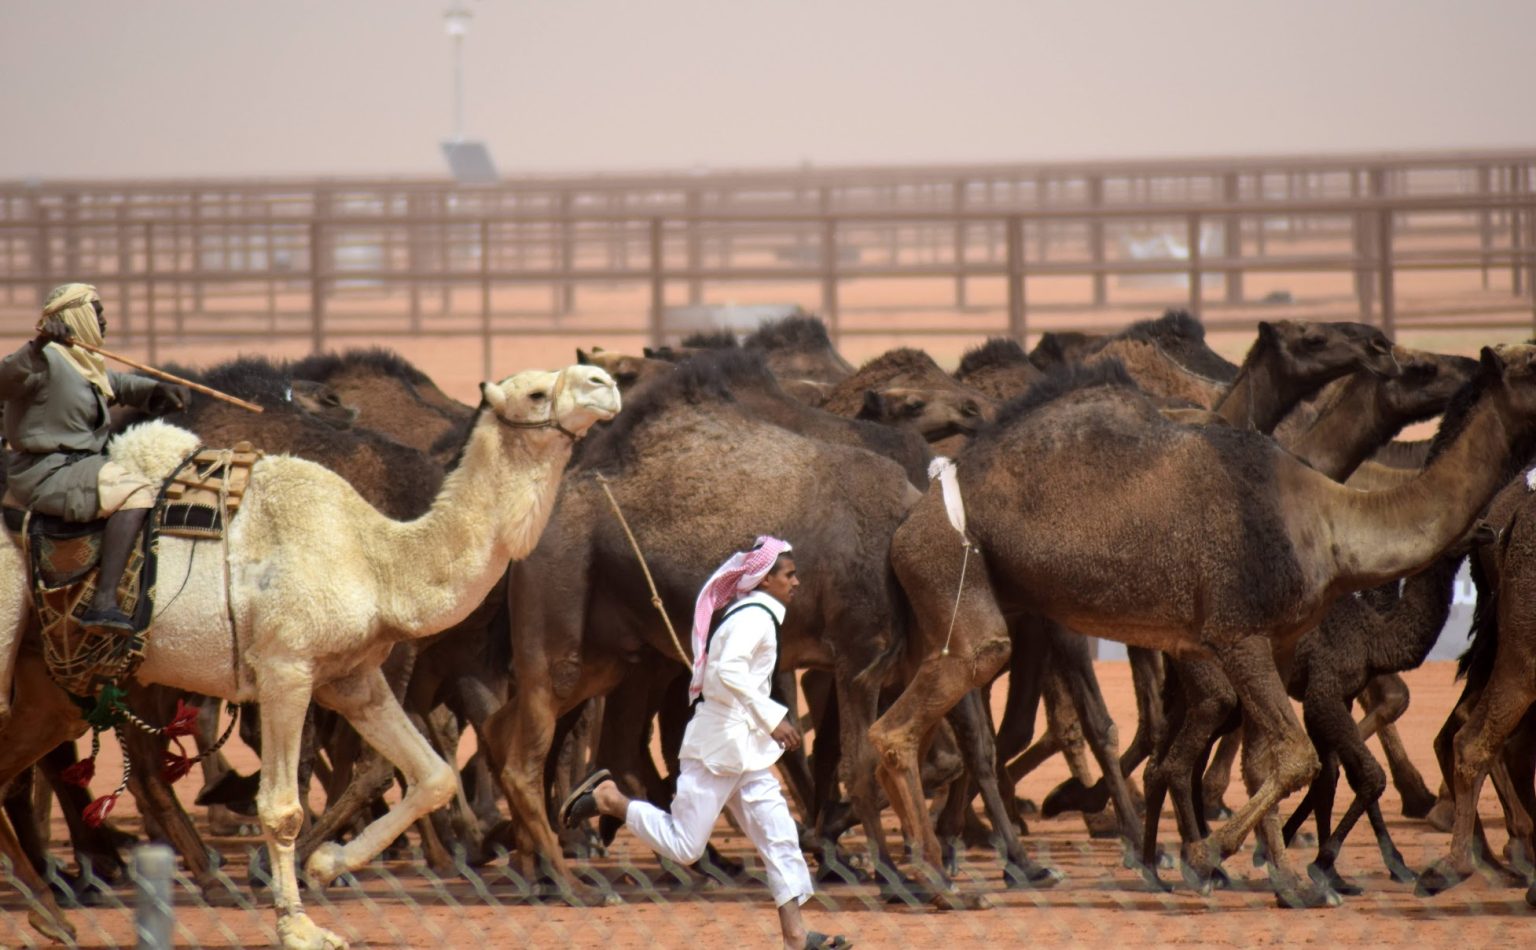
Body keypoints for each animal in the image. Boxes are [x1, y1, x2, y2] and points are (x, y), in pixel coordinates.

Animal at [1, 358, 623, 940]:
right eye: (536, 392)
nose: (603, 382)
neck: (378, 561)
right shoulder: (285, 669)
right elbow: (283, 806)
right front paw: (298, 926)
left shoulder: (354, 679)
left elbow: (430, 776)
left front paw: (327, 864)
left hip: (56, 681)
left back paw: (55, 912)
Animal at [872, 344, 1536, 903]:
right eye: (1419, 368)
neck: (1328, 522)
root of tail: (907, 519)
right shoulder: (1237, 633)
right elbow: (1297, 756)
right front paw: (1207, 855)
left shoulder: (1278, 641)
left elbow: (1270, 760)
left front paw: (1287, 881)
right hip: (952, 570)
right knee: (903, 725)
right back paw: (938, 880)